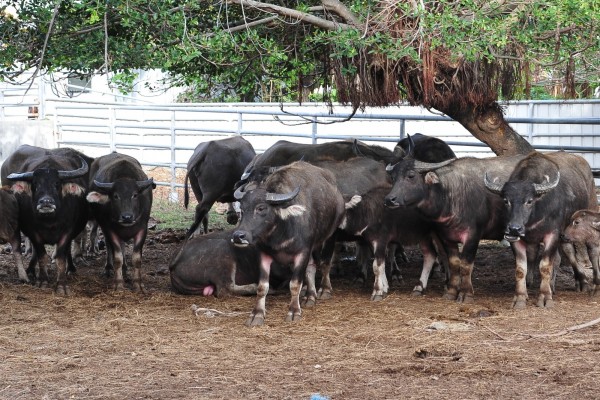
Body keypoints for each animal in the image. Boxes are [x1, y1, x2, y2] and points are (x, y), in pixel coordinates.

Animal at [3, 147, 90, 294]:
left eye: (57, 184)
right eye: (35, 184)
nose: (46, 202)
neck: (50, 221)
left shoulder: (67, 232)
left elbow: (61, 257)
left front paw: (61, 285)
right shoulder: (34, 233)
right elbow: (41, 256)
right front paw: (43, 280)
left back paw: (71, 269)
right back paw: (31, 270)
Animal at [85, 152, 155, 292]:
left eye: (135, 195)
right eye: (115, 196)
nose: (127, 217)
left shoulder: (142, 230)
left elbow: (136, 259)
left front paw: (138, 285)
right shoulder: (110, 230)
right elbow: (117, 258)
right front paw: (119, 284)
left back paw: (125, 269)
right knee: (109, 246)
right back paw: (108, 268)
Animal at [231, 161, 344, 326]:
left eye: (261, 208)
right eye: (242, 210)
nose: (238, 236)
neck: (280, 233)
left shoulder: (302, 252)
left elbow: (295, 284)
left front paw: (294, 311)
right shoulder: (263, 254)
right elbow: (262, 286)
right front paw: (257, 314)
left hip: (330, 235)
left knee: (324, 263)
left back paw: (324, 290)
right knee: (311, 267)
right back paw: (310, 296)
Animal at [384, 155, 524, 302]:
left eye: (411, 176)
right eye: (393, 177)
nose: (389, 199)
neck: (450, 196)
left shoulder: (473, 236)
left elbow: (466, 265)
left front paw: (466, 294)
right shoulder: (446, 236)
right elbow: (454, 263)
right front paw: (451, 291)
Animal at [486, 152, 596, 308]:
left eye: (529, 201)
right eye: (506, 201)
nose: (514, 228)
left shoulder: (552, 235)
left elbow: (545, 267)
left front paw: (545, 297)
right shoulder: (516, 240)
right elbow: (520, 269)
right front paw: (520, 297)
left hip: (584, 215)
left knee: (577, 252)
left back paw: (583, 283)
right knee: (560, 255)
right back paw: (552, 285)